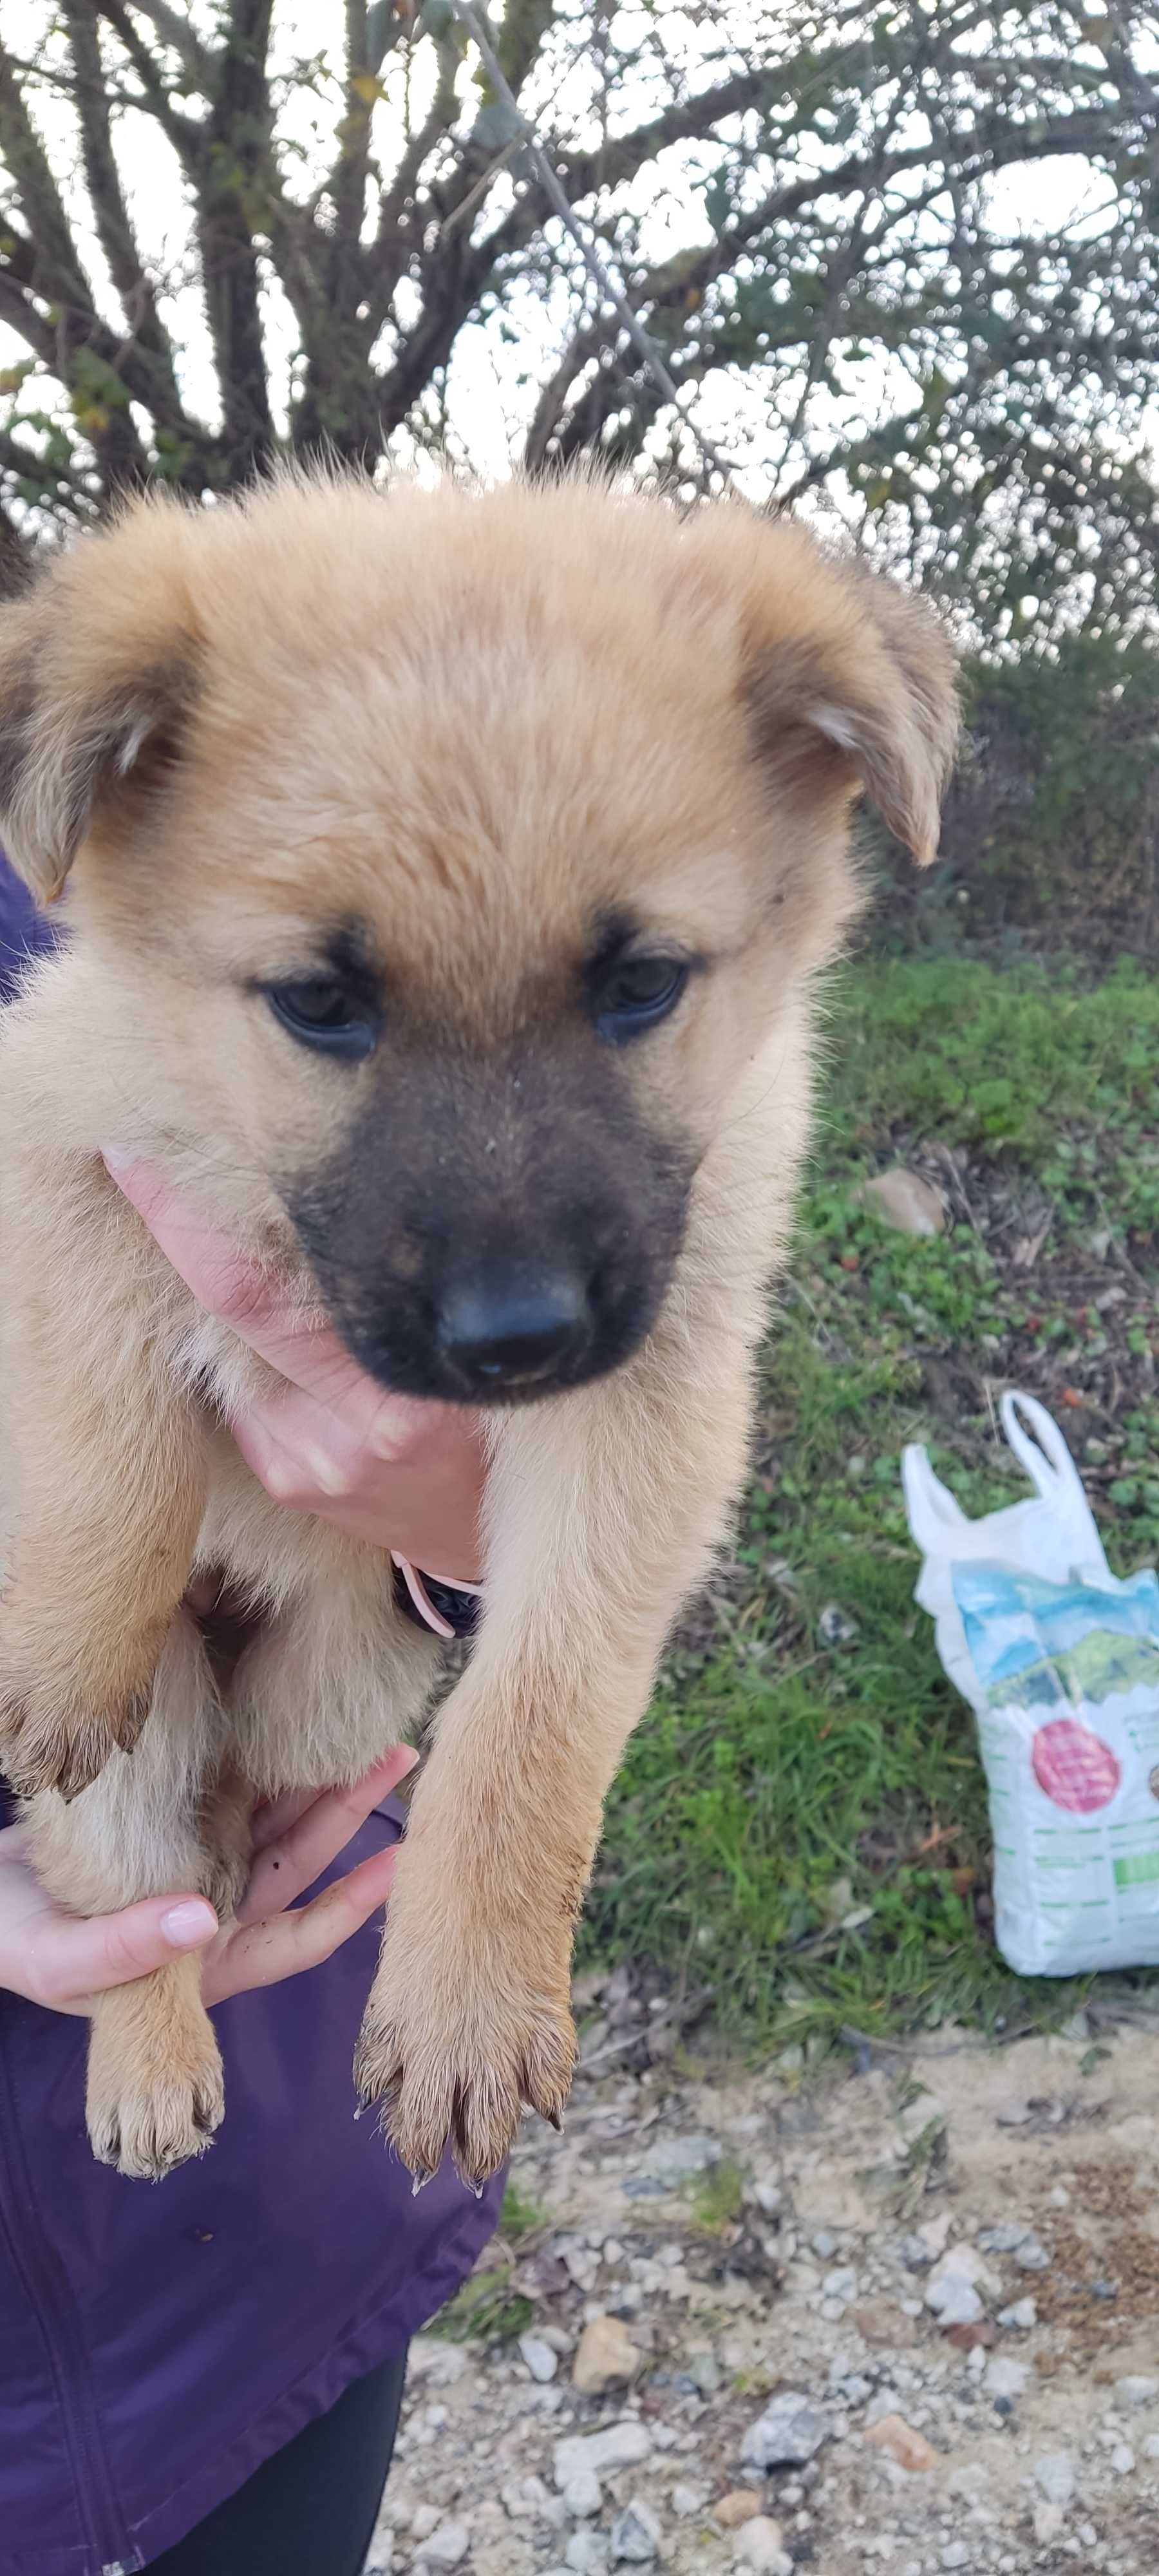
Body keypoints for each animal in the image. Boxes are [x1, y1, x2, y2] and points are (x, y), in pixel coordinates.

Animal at [0, 474, 958, 2184]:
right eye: (319, 1002)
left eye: (643, 982)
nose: (516, 1342)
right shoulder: (55, 1132)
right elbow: (103, 1402)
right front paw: (65, 1633)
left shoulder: (650, 1412)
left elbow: (530, 1724)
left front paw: (465, 2008)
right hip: (154, 1753)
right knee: (129, 1892)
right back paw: (149, 2056)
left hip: (336, 1688)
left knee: (243, 1797)